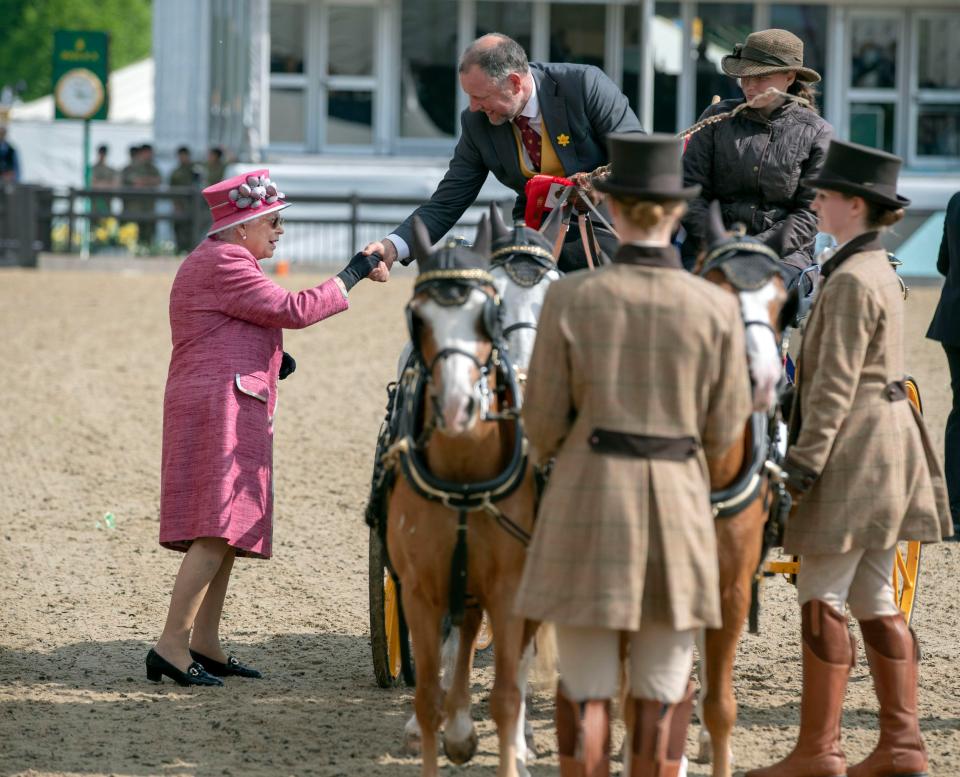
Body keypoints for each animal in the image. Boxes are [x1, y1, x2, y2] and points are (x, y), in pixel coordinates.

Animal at [386, 214, 544, 776]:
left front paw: (514, 746)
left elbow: (508, 687)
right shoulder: (420, 584)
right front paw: (435, 731)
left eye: (486, 314)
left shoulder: (514, 583)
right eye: (418, 318)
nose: (458, 407)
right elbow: (433, 680)